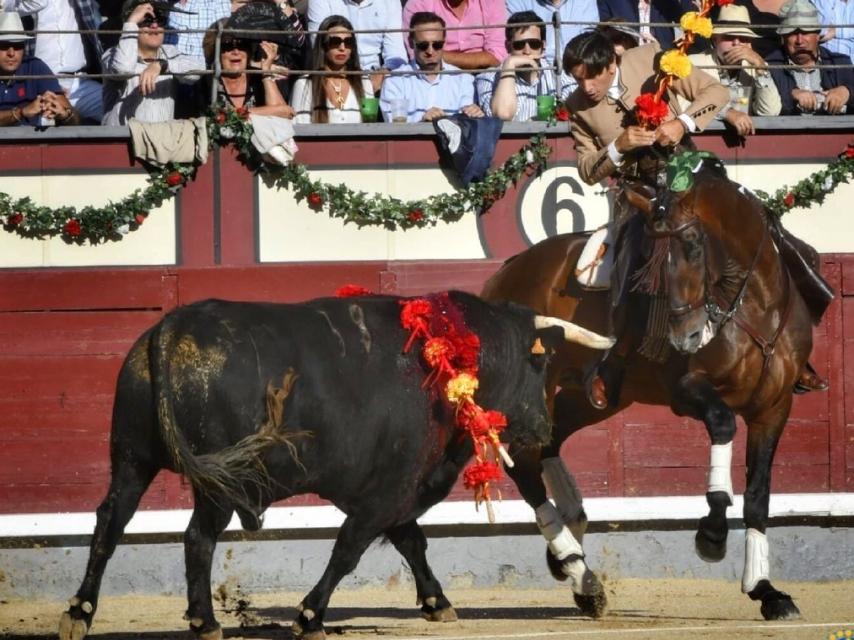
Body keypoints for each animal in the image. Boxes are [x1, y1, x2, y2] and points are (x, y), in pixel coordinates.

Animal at [60, 292, 616, 640]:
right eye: (540, 363)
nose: (543, 430)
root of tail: (171, 328)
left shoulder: (395, 491)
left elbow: (412, 543)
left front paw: (437, 603)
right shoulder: (387, 491)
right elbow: (349, 549)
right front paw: (309, 615)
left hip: (131, 459)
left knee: (110, 523)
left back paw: (80, 613)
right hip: (218, 483)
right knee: (197, 537)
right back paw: (204, 622)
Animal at [484, 156, 812, 620]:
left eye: (694, 244)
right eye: (652, 259)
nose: (687, 337)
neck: (755, 308)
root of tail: (504, 274)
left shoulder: (774, 408)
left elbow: (759, 495)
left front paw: (766, 591)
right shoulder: (686, 391)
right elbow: (723, 424)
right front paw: (712, 534)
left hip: (598, 398)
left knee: (550, 439)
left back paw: (574, 557)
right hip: (534, 389)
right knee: (523, 465)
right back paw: (577, 566)